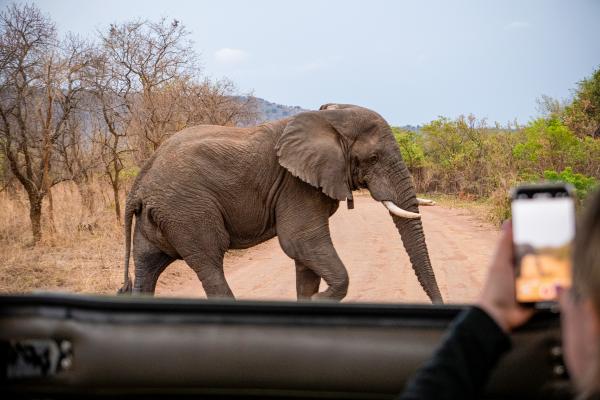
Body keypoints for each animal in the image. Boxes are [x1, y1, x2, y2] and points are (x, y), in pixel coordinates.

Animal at [118, 103, 440, 304]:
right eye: (373, 158)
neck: (331, 117)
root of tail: (140, 182)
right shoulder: (295, 184)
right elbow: (300, 242)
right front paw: (316, 301)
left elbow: (305, 256)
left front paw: (309, 302)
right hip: (187, 211)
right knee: (209, 261)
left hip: (159, 217)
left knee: (147, 266)